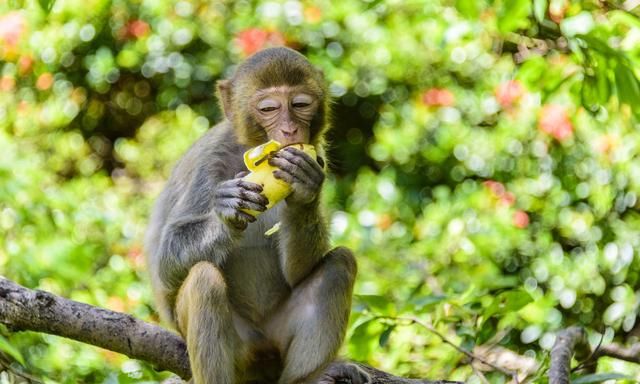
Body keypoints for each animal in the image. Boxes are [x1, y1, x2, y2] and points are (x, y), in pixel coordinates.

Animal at [145, 48, 370, 384]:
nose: (290, 130)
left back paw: (305, 379)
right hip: (243, 351)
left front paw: (305, 192)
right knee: (203, 281)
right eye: (269, 108)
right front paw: (227, 213)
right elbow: (166, 263)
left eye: (300, 104)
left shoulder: (318, 154)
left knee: (340, 264)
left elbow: (299, 271)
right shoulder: (208, 160)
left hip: (277, 337)